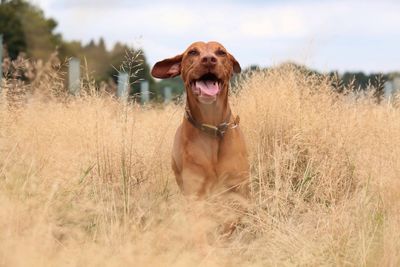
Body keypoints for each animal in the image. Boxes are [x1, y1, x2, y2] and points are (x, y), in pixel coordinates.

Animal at [152, 40, 248, 202]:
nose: (209, 59)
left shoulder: (238, 189)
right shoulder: (195, 192)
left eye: (221, 52)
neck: (212, 122)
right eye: (192, 52)